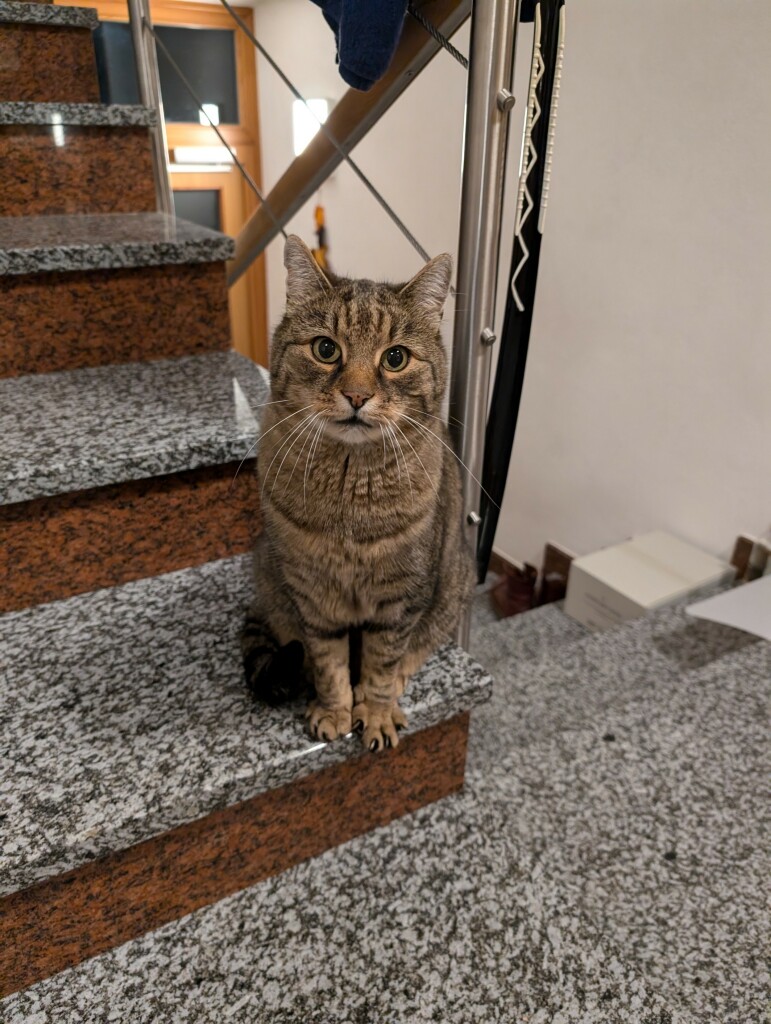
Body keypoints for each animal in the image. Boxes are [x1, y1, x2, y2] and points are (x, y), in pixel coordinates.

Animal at [240, 237, 473, 753]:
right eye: (326, 349)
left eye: (395, 358)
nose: (357, 396)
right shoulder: (314, 598)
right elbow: (328, 663)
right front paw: (335, 711)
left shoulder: (400, 601)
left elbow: (383, 663)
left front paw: (378, 712)